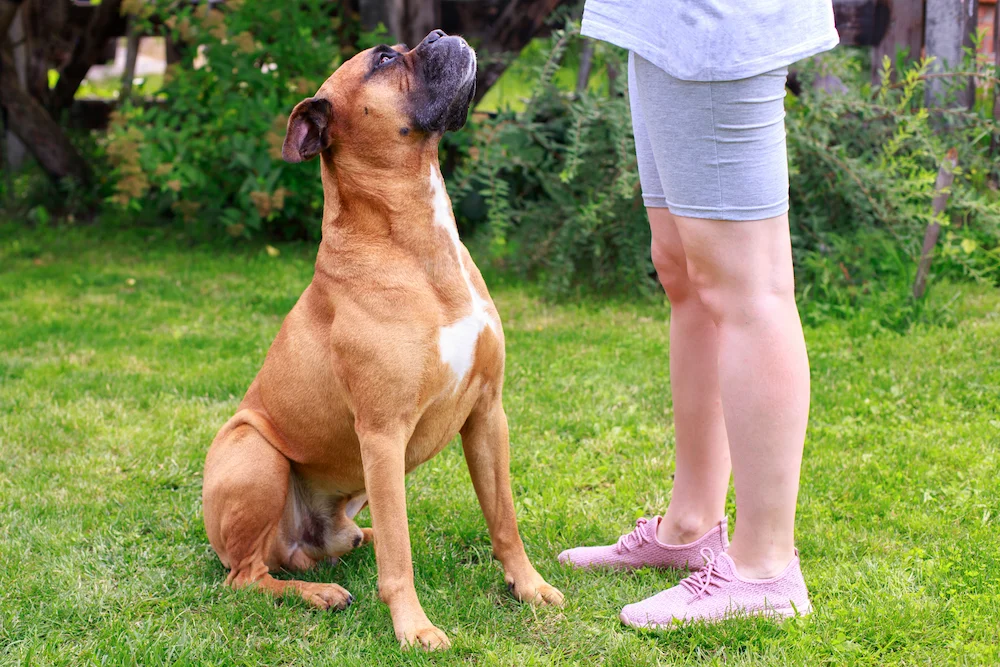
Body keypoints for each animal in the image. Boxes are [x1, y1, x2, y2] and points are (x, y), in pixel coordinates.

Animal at [203, 31, 564, 652]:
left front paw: (529, 585)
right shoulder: (382, 434)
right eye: (385, 59)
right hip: (254, 451)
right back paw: (318, 594)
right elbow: (401, 559)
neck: (414, 237)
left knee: (337, 545)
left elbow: (504, 519)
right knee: (247, 576)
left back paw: (351, 545)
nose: (441, 34)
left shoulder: (488, 414)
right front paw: (414, 628)